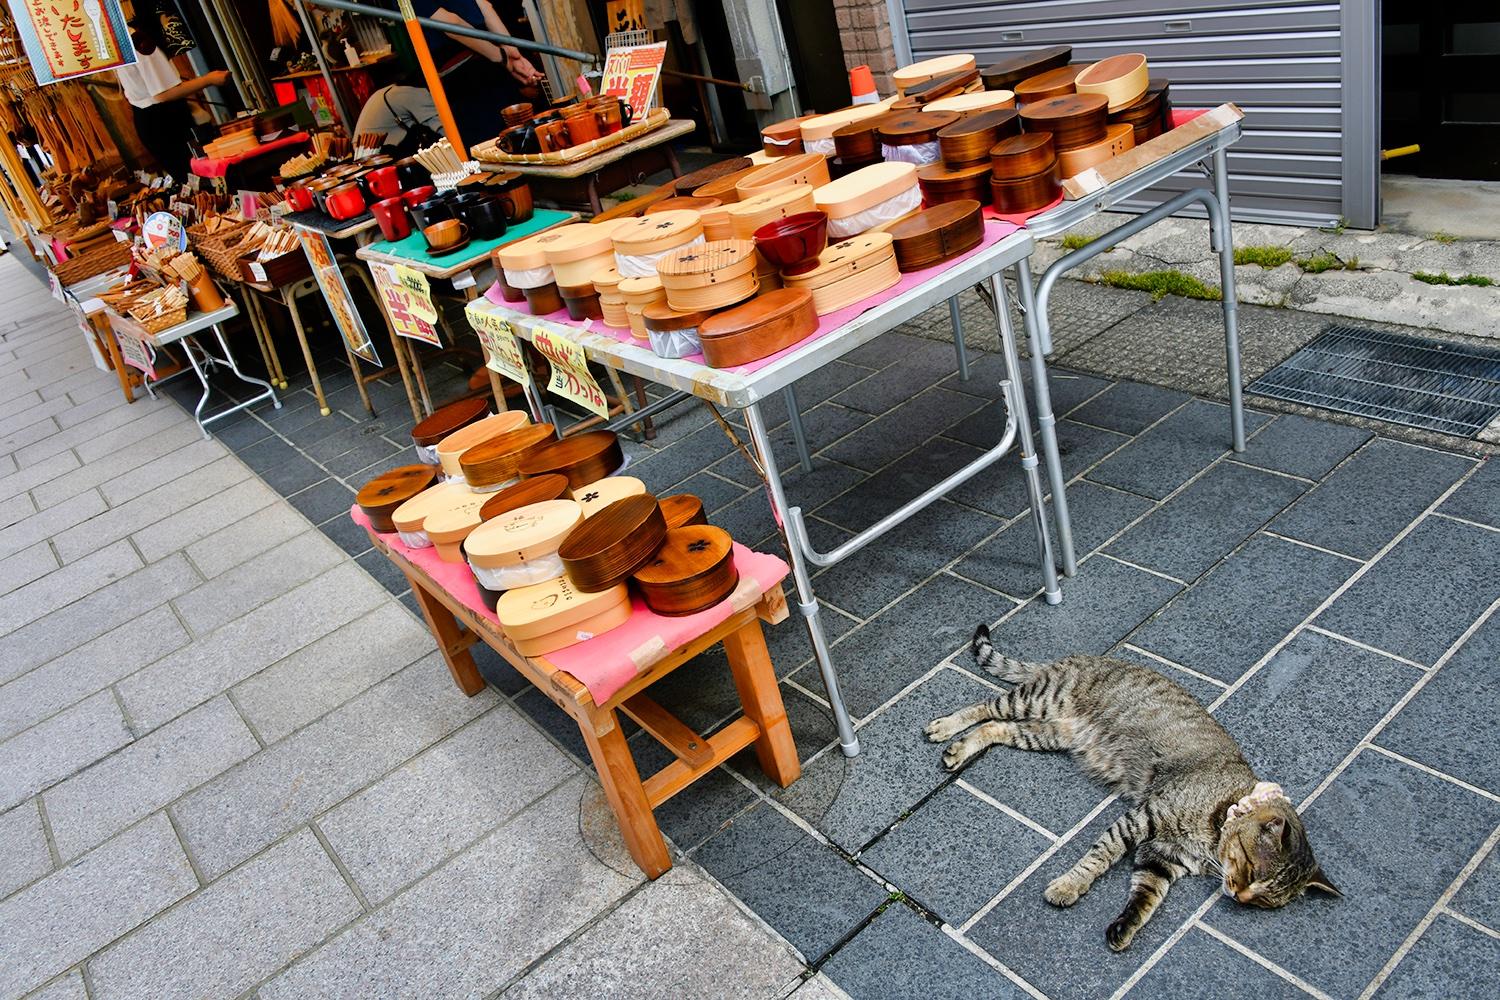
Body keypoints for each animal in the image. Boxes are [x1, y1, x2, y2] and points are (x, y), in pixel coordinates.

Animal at [924, 626, 1338, 953]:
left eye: (1264, 900)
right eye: (1252, 870)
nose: (1239, 896)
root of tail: (1078, 657)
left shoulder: (1162, 858)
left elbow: (1146, 896)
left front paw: (1125, 927)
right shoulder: (1142, 818)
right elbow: (1099, 857)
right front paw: (1069, 886)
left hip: (1046, 733)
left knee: (994, 728)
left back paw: (960, 748)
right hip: (1036, 699)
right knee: (983, 707)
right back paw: (946, 728)